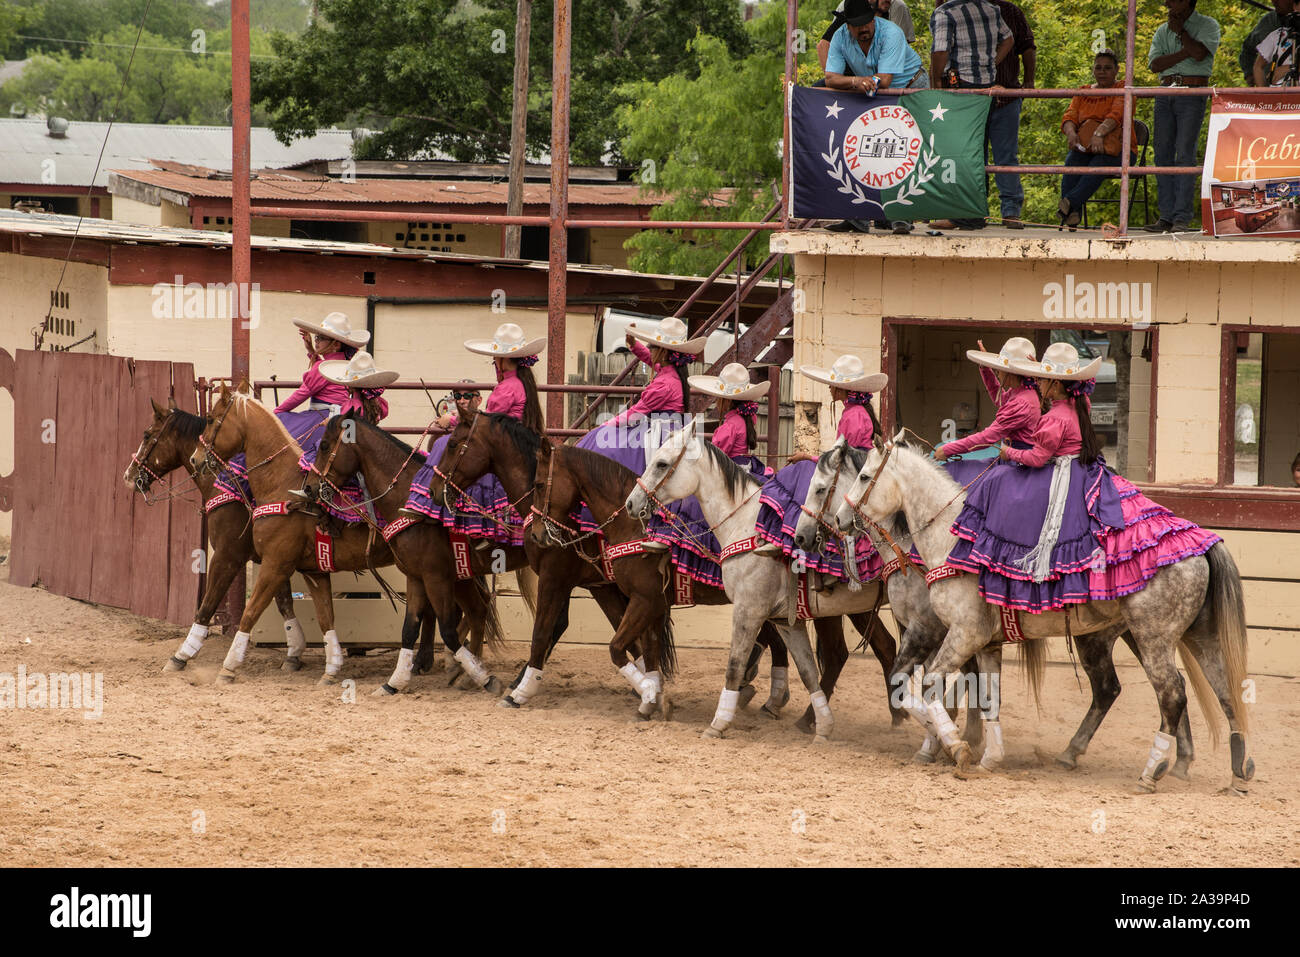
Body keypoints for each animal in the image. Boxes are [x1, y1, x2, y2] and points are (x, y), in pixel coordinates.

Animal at [299, 410, 543, 696]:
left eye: (325, 446)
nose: (308, 488)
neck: (407, 497)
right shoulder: (415, 576)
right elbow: (409, 627)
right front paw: (394, 683)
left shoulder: (436, 576)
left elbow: (446, 629)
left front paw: (486, 678)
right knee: (480, 610)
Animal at [629, 416, 904, 743]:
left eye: (661, 463)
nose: (632, 503)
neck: (747, 526)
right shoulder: (785, 619)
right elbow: (806, 670)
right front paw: (823, 725)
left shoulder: (748, 610)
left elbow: (734, 665)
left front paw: (718, 723)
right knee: (878, 649)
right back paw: (893, 717)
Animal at [837, 434, 1253, 790]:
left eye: (863, 476)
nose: (841, 518)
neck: (951, 536)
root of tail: (1201, 543)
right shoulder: (986, 642)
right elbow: (987, 698)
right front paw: (990, 757)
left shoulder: (961, 634)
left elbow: (925, 689)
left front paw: (955, 745)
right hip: (1190, 636)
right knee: (1222, 690)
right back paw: (1237, 771)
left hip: (1152, 638)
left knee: (1171, 694)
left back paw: (1153, 771)